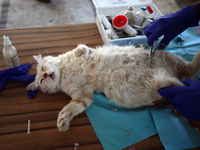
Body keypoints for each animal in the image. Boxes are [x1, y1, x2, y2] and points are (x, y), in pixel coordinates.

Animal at [27, 44, 200, 132]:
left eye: (42, 68)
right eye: (41, 80)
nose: (45, 75)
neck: (65, 73)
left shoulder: (88, 53)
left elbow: (82, 49)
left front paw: (79, 51)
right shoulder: (83, 96)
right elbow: (69, 109)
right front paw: (63, 121)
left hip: (167, 56)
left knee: (190, 70)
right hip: (162, 83)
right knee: (185, 79)